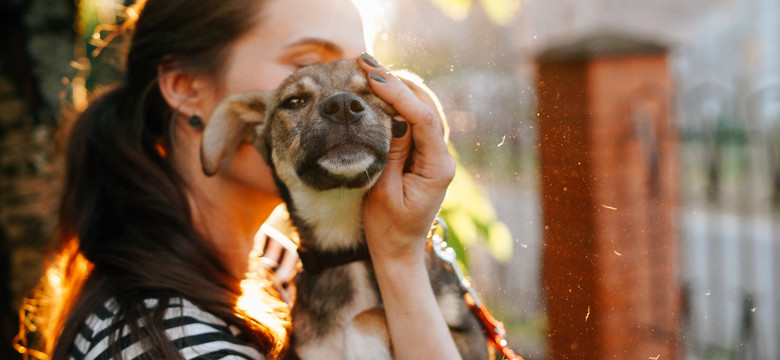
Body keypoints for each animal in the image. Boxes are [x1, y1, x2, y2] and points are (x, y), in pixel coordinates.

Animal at [201, 59, 494, 360]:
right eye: (293, 101)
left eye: (372, 89)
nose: (342, 105)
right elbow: (365, 316)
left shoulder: (470, 338)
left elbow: (366, 315)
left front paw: (365, 348)